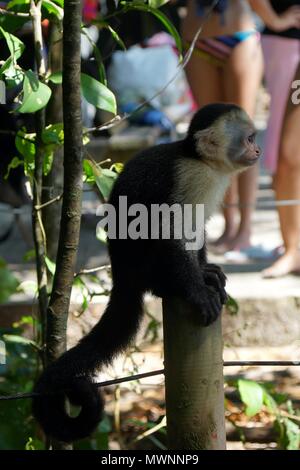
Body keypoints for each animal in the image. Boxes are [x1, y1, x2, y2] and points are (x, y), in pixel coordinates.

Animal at [32, 103, 262, 440]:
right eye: (249, 139)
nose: (258, 150)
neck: (199, 159)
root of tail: (122, 276)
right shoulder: (190, 177)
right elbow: (168, 231)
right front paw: (196, 290)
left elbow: (197, 228)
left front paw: (205, 272)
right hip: (142, 267)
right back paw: (170, 286)